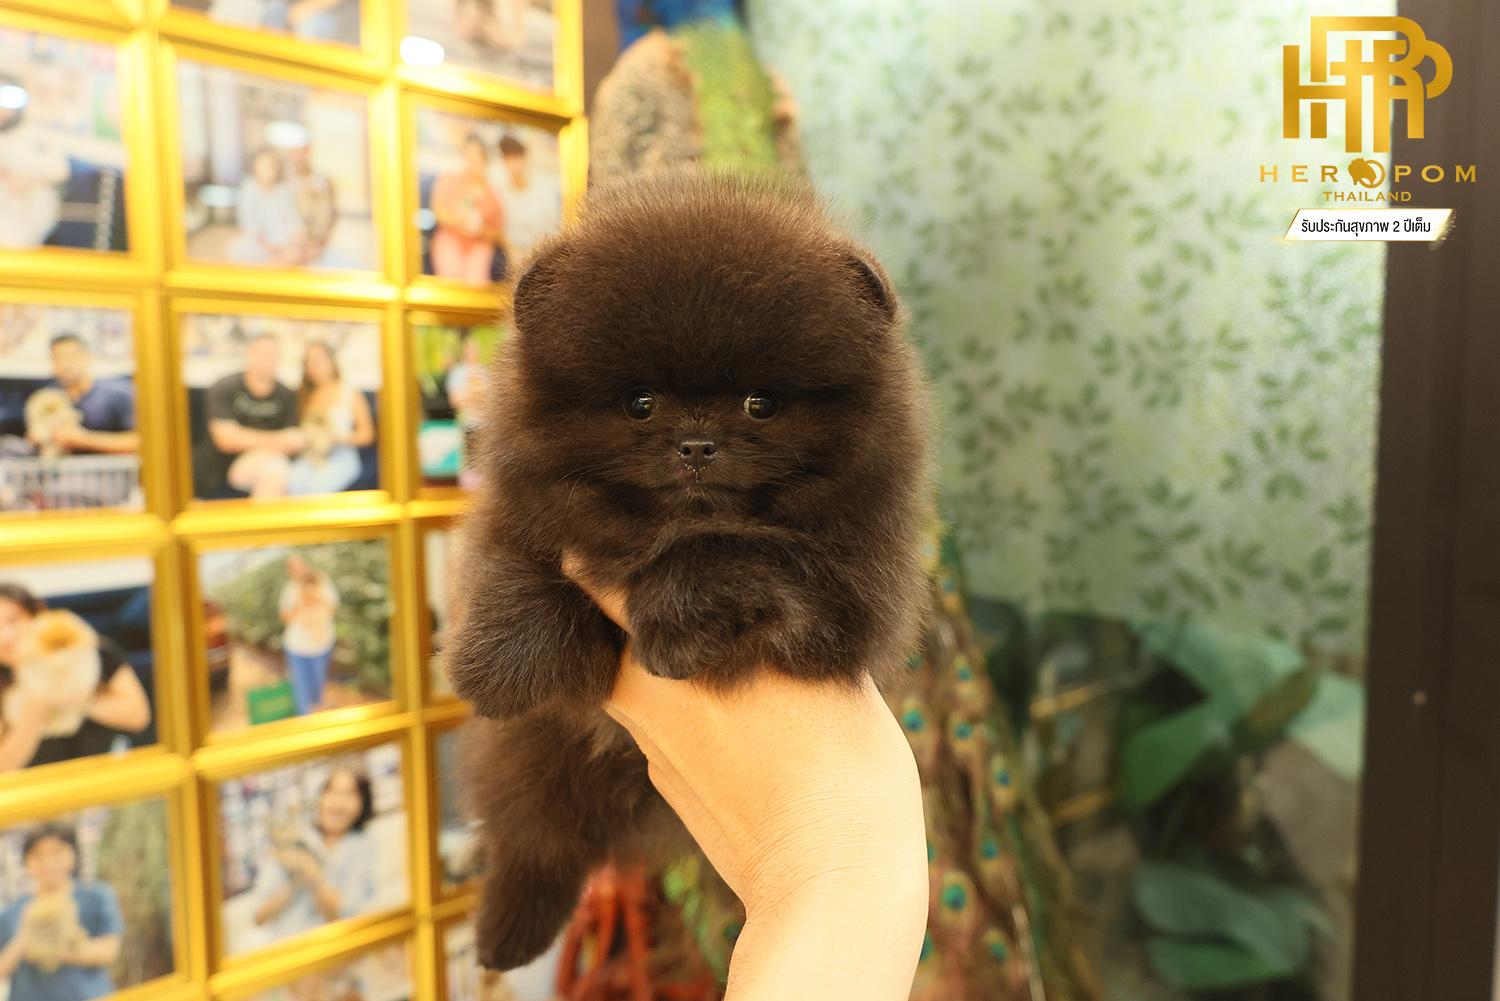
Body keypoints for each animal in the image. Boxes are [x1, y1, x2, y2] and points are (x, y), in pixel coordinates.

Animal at [444, 169, 933, 970]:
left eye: (761, 403)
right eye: (640, 404)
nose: (698, 442)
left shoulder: (856, 596)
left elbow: (734, 547)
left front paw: (673, 626)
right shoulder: (521, 514)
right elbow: (519, 565)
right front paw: (499, 664)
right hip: (534, 759)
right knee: (536, 844)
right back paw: (507, 934)